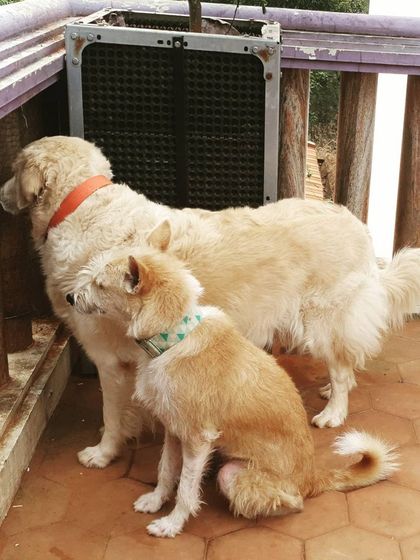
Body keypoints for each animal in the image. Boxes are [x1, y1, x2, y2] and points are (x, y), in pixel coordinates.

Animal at [1, 136, 419, 470]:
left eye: (13, 169)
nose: (1, 193)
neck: (80, 208)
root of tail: (355, 221)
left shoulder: (107, 358)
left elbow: (113, 414)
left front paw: (103, 453)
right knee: (345, 363)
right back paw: (330, 393)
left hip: (322, 321)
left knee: (343, 369)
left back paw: (332, 413)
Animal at [70, 247, 399, 537]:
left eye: (100, 284)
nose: (69, 297)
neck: (172, 340)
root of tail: (311, 478)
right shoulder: (174, 430)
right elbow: (165, 471)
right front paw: (155, 501)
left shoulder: (197, 439)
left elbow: (186, 488)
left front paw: (172, 524)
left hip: (233, 474)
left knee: (295, 502)